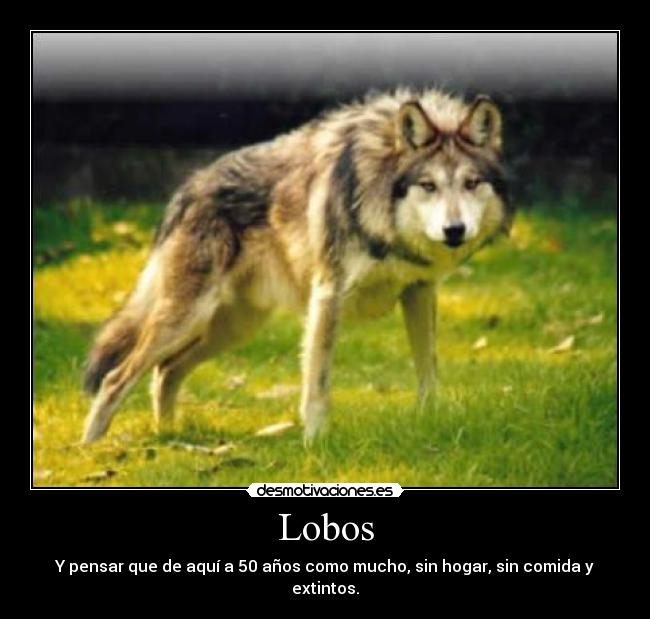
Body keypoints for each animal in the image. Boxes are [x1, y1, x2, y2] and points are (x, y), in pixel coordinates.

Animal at [81, 89, 513, 445]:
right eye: (429, 186)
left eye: (472, 183)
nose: (454, 230)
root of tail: (187, 188)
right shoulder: (328, 295)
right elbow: (317, 382)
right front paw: (316, 443)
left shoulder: (420, 291)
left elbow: (428, 370)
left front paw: (432, 422)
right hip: (188, 319)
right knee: (117, 378)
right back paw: (91, 448)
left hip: (234, 328)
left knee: (165, 372)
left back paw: (169, 435)